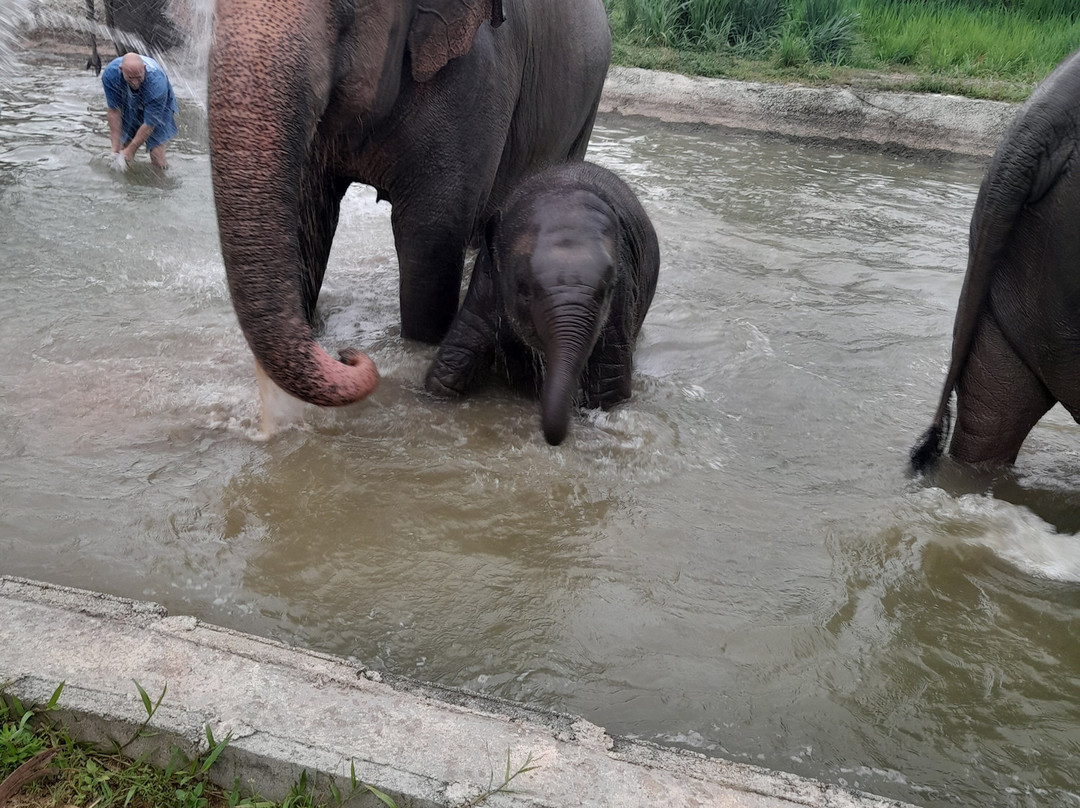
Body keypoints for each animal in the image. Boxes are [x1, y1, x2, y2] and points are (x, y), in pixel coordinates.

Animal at [207, 0, 612, 417]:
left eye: (349, 7)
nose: (349, 355)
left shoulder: (478, 77)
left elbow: (429, 235)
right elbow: (309, 213)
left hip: (589, 102)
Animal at [425, 161, 661, 445]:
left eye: (608, 290)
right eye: (523, 288)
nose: (553, 439)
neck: (561, 188)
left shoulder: (620, 303)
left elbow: (609, 387)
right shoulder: (487, 281)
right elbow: (452, 363)